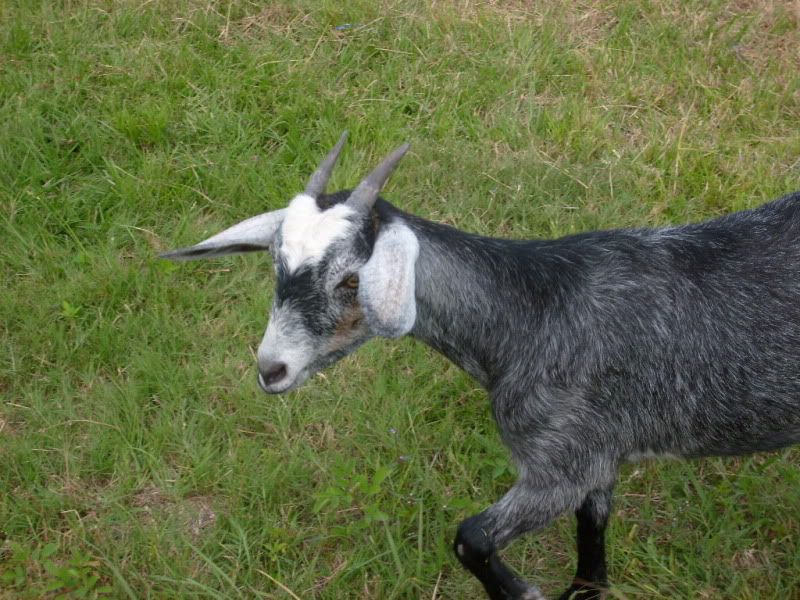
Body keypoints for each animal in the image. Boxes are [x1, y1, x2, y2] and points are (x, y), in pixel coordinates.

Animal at [162, 132, 800, 600]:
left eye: (350, 280)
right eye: (275, 263)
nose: (272, 369)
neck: (531, 314)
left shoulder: (558, 466)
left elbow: (470, 537)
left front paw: (523, 594)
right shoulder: (594, 454)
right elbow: (592, 535)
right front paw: (581, 591)